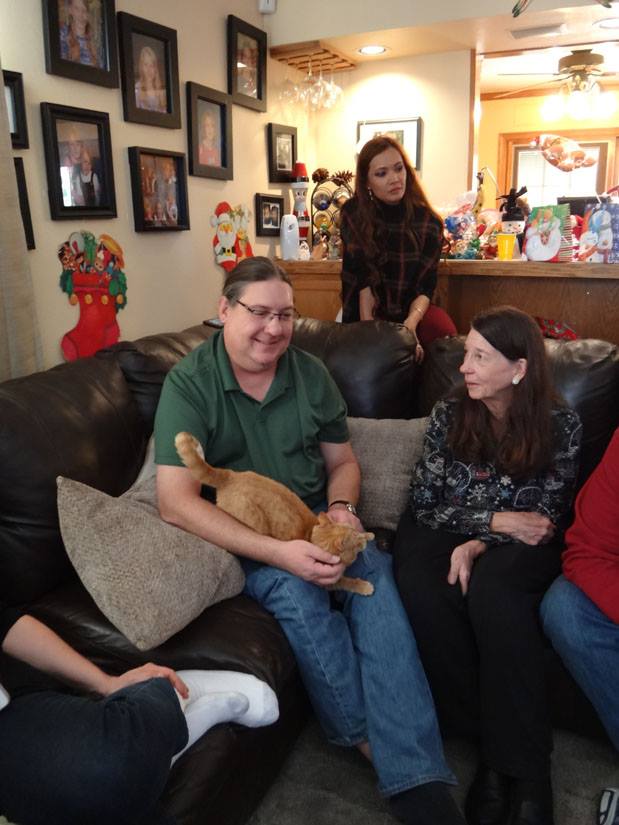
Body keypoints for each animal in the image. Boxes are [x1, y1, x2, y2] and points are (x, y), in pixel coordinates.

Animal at [174, 432, 374, 596]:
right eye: (357, 543)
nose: (364, 541)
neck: (311, 534)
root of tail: (230, 476)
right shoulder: (326, 581)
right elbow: (346, 581)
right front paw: (365, 585)